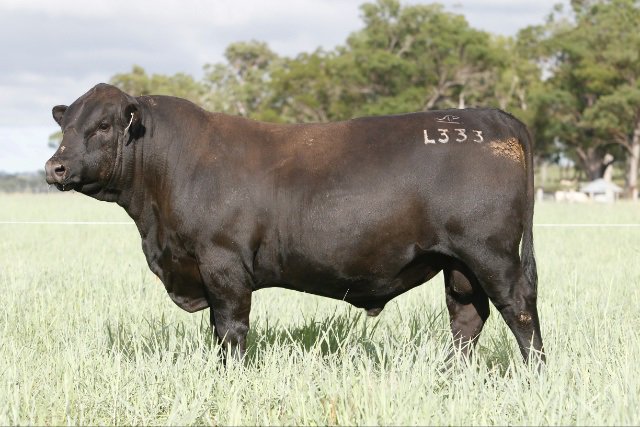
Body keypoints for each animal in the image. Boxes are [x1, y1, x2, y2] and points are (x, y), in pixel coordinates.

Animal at [45, 83, 544, 365]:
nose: (55, 167)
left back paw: (534, 373)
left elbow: (231, 331)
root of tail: (490, 116)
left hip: (491, 253)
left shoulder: (223, 264)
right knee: (467, 317)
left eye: (104, 126)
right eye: (66, 126)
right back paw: (448, 374)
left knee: (519, 309)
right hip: (458, 263)